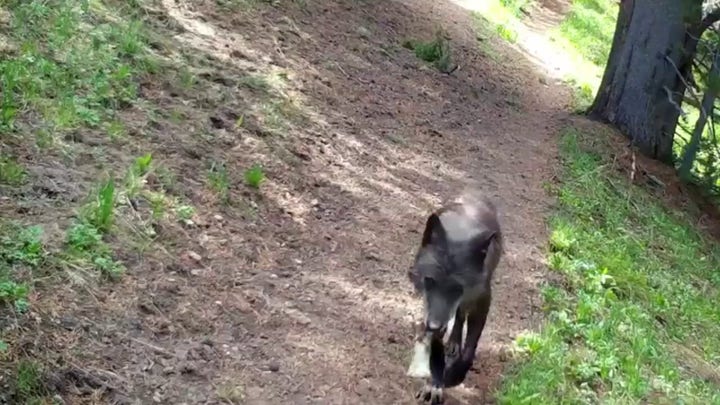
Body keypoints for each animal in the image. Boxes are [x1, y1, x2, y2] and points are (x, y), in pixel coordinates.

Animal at [408, 190, 504, 404]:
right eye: (430, 281)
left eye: (456, 289)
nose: (433, 326)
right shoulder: (433, 311)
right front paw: (434, 385)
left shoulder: (482, 302)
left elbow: (468, 351)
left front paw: (453, 377)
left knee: (460, 317)